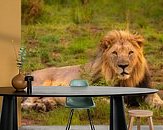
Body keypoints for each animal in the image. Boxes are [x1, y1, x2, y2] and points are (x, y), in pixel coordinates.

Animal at [21, 30, 163, 110]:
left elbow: (155, 98)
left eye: (130, 52)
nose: (123, 66)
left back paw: (47, 104)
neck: (125, 82)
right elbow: (106, 101)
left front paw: (159, 105)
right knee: (24, 103)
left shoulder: (146, 89)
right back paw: (38, 106)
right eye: (115, 53)